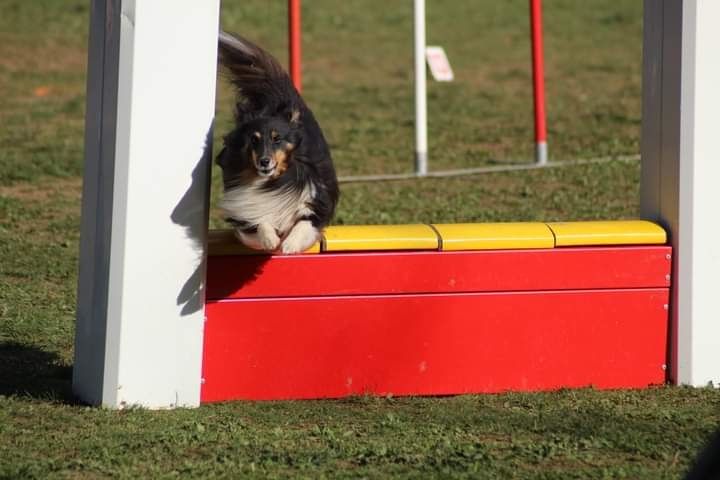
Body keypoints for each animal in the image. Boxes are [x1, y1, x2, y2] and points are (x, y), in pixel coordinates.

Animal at [215, 31, 338, 253]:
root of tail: (277, 95)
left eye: (277, 138)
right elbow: (259, 221)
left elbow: (304, 223)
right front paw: (270, 240)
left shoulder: (315, 199)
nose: (264, 161)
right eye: (253, 140)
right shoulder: (244, 209)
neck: (273, 181)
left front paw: (289, 245)